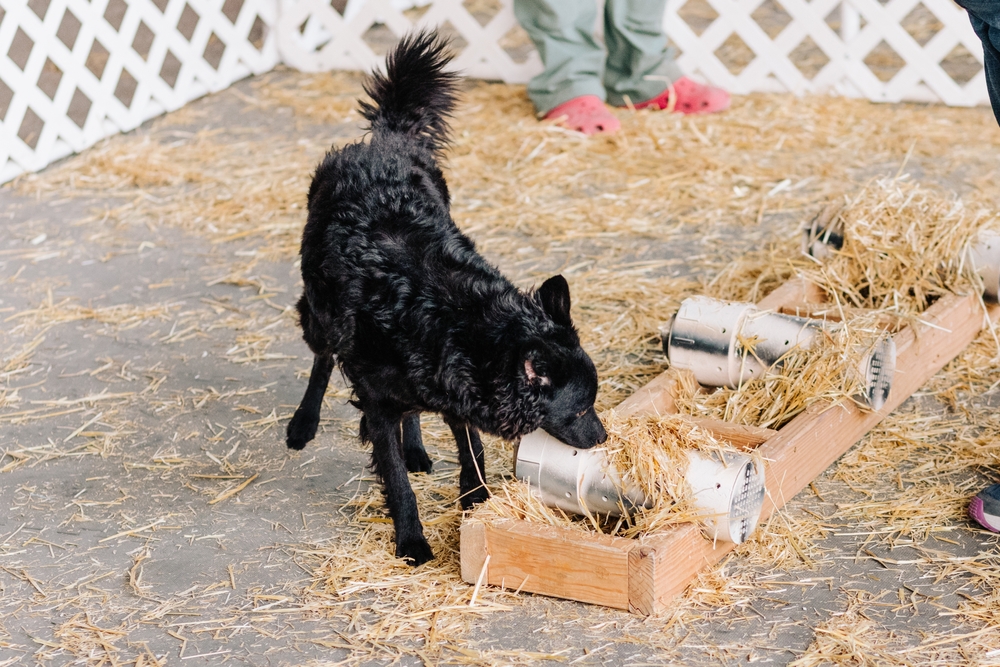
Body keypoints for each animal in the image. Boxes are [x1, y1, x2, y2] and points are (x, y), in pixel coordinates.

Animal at [286, 30, 604, 564]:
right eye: (581, 411)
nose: (603, 438)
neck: (449, 316)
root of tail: (386, 140)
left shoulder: (456, 383)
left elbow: (469, 446)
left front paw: (476, 500)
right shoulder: (381, 397)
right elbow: (396, 480)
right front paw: (412, 541)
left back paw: (414, 446)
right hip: (320, 313)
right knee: (323, 358)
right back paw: (303, 422)